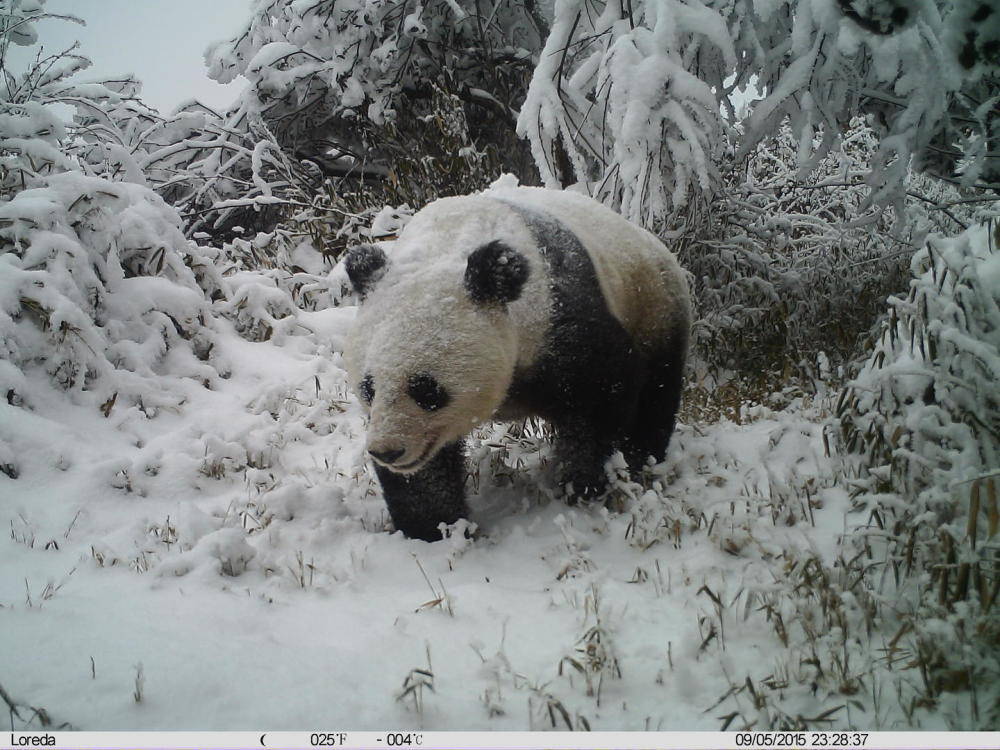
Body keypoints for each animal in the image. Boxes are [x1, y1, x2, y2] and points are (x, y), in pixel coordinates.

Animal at [340, 186, 692, 544]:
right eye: (368, 388)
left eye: (426, 390)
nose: (387, 451)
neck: (448, 245)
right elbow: (426, 472)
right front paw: (434, 530)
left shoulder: (560, 318)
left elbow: (600, 399)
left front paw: (582, 485)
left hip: (654, 303)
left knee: (656, 393)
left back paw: (644, 461)